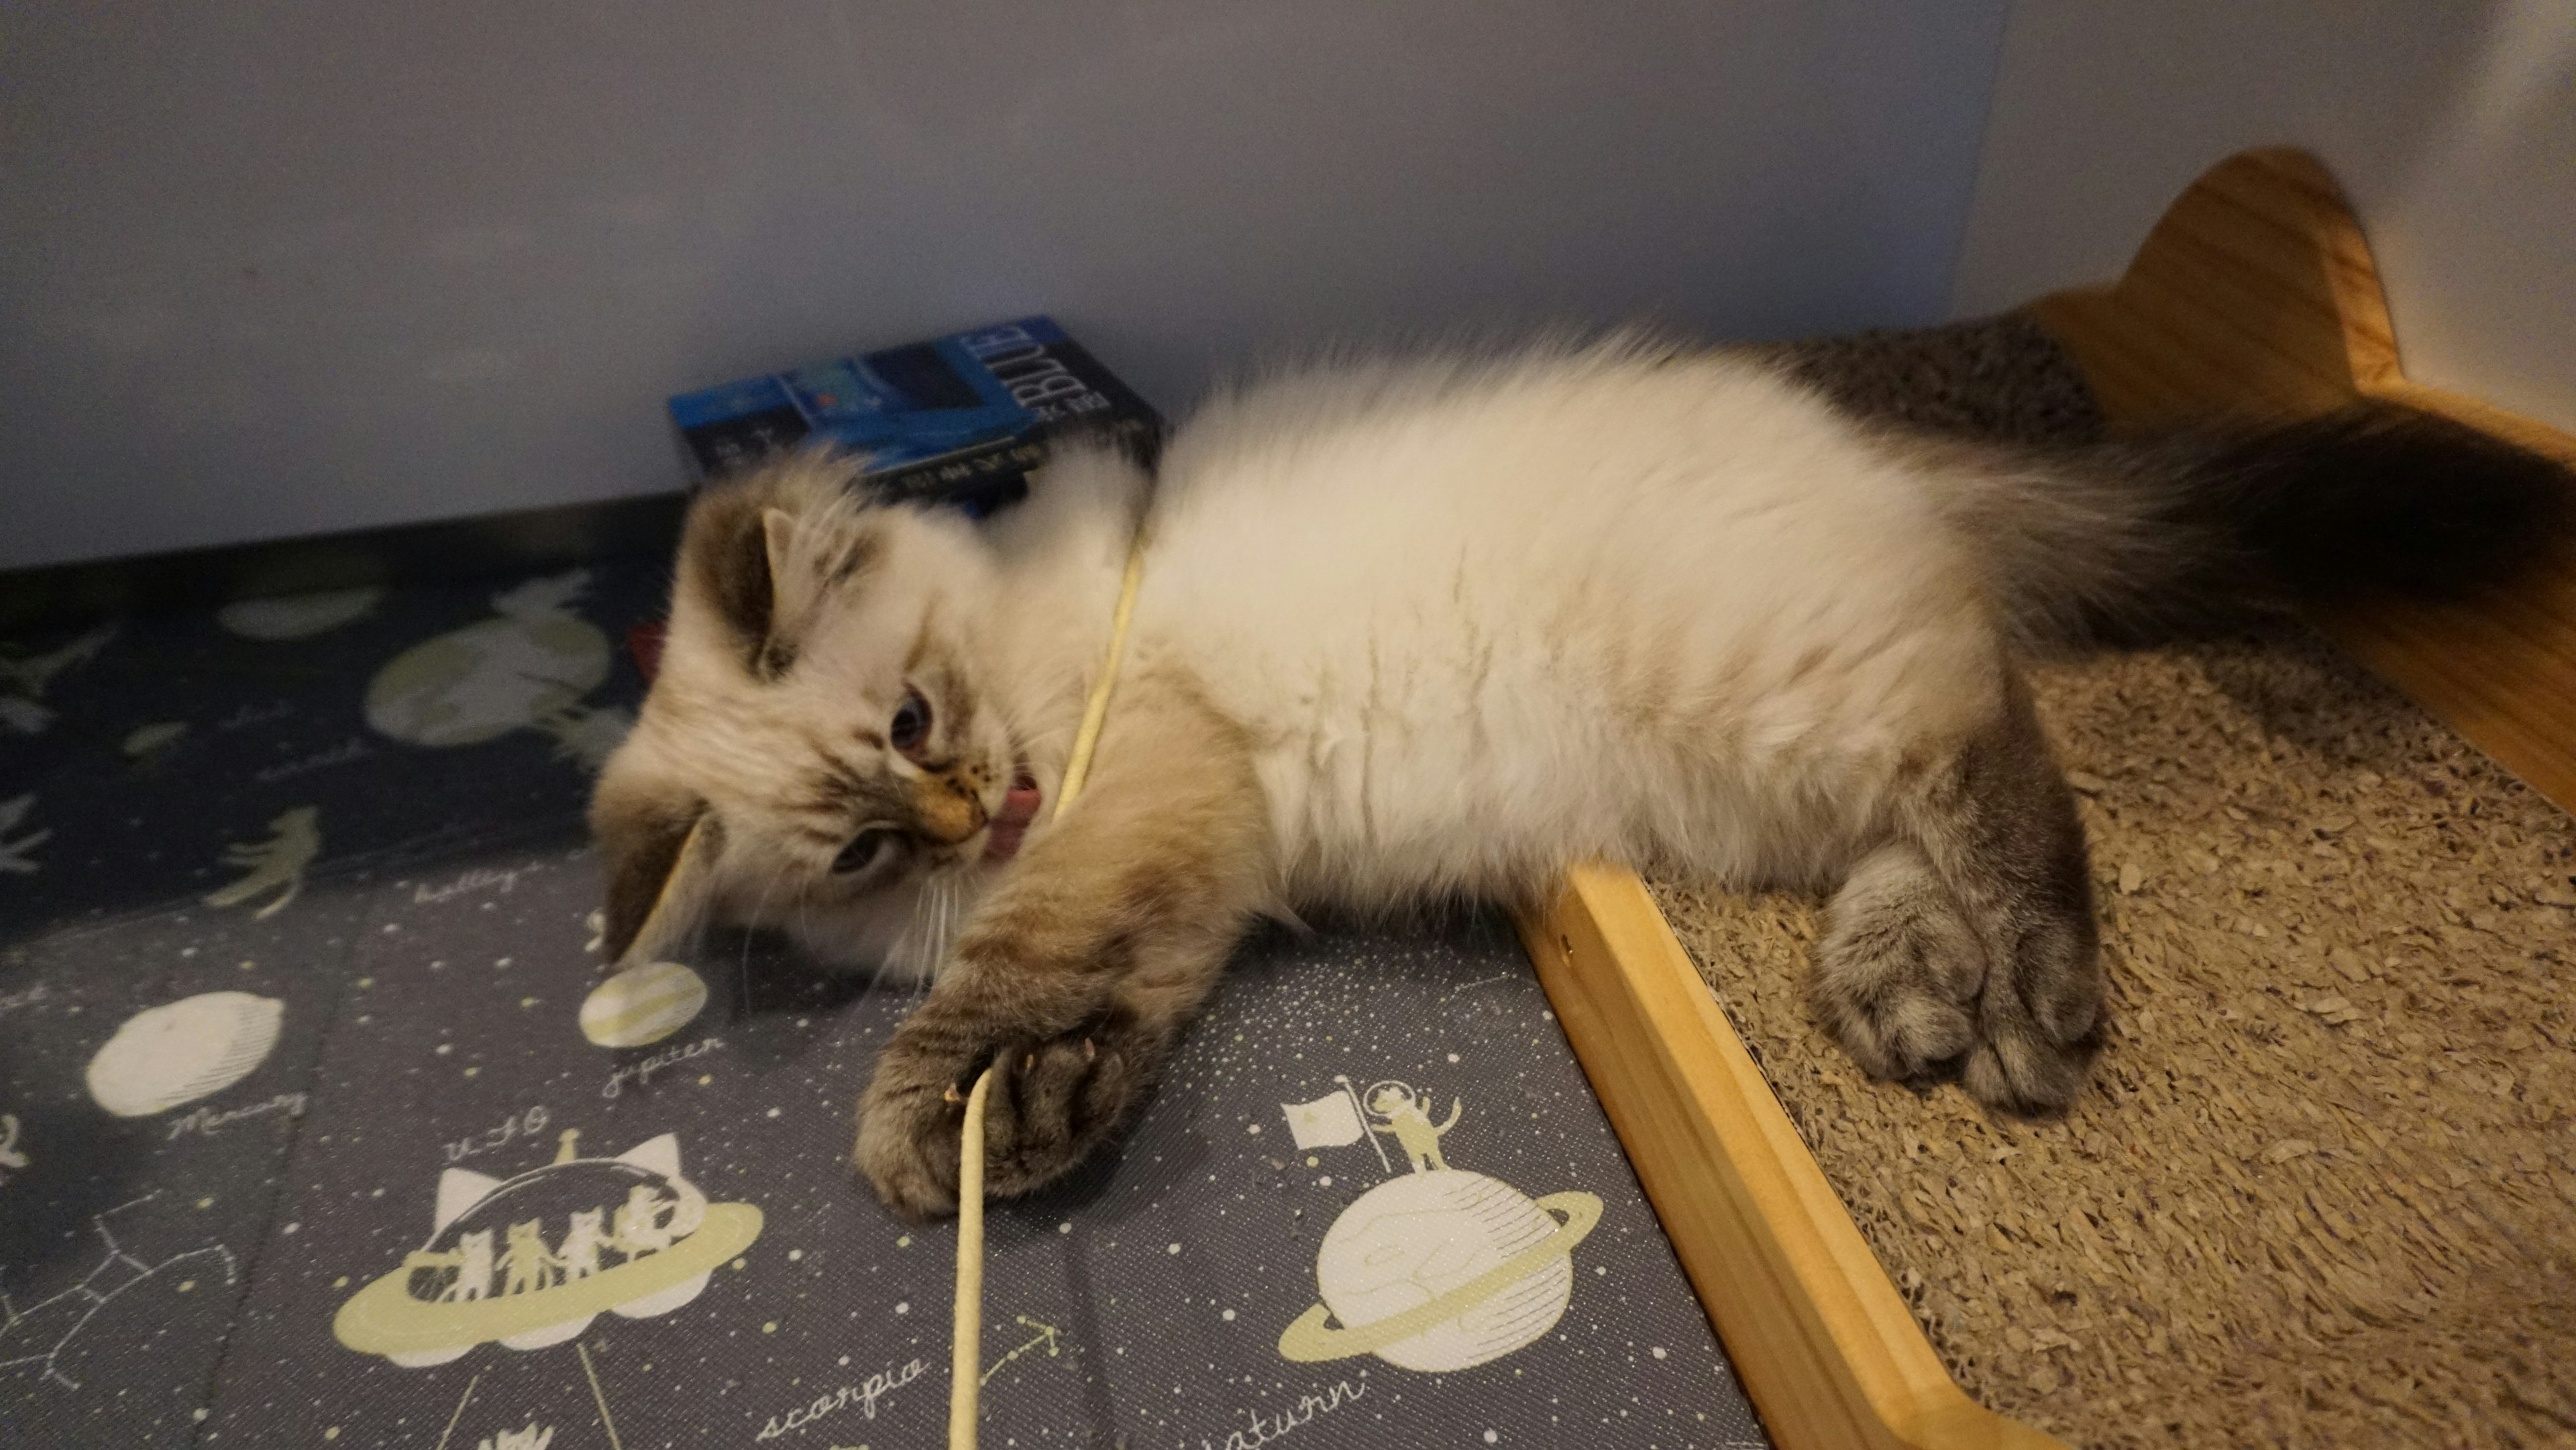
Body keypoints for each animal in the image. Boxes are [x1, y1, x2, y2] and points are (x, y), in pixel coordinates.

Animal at [592, 342, 2565, 1226]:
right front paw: (1038, 1117)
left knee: (1996, 752)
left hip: (1792, 691)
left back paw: (2033, 1005)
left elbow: (1011, 975)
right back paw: (1923, 1004)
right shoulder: (1183, 865)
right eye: (862, 849)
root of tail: (1873, 442)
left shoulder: (1138, 789)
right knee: (1905, 844)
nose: (969, 816)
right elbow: (1096, 993)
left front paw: (934, 1126)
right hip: (1757, 770)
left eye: (920, 718)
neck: (1039, 636)